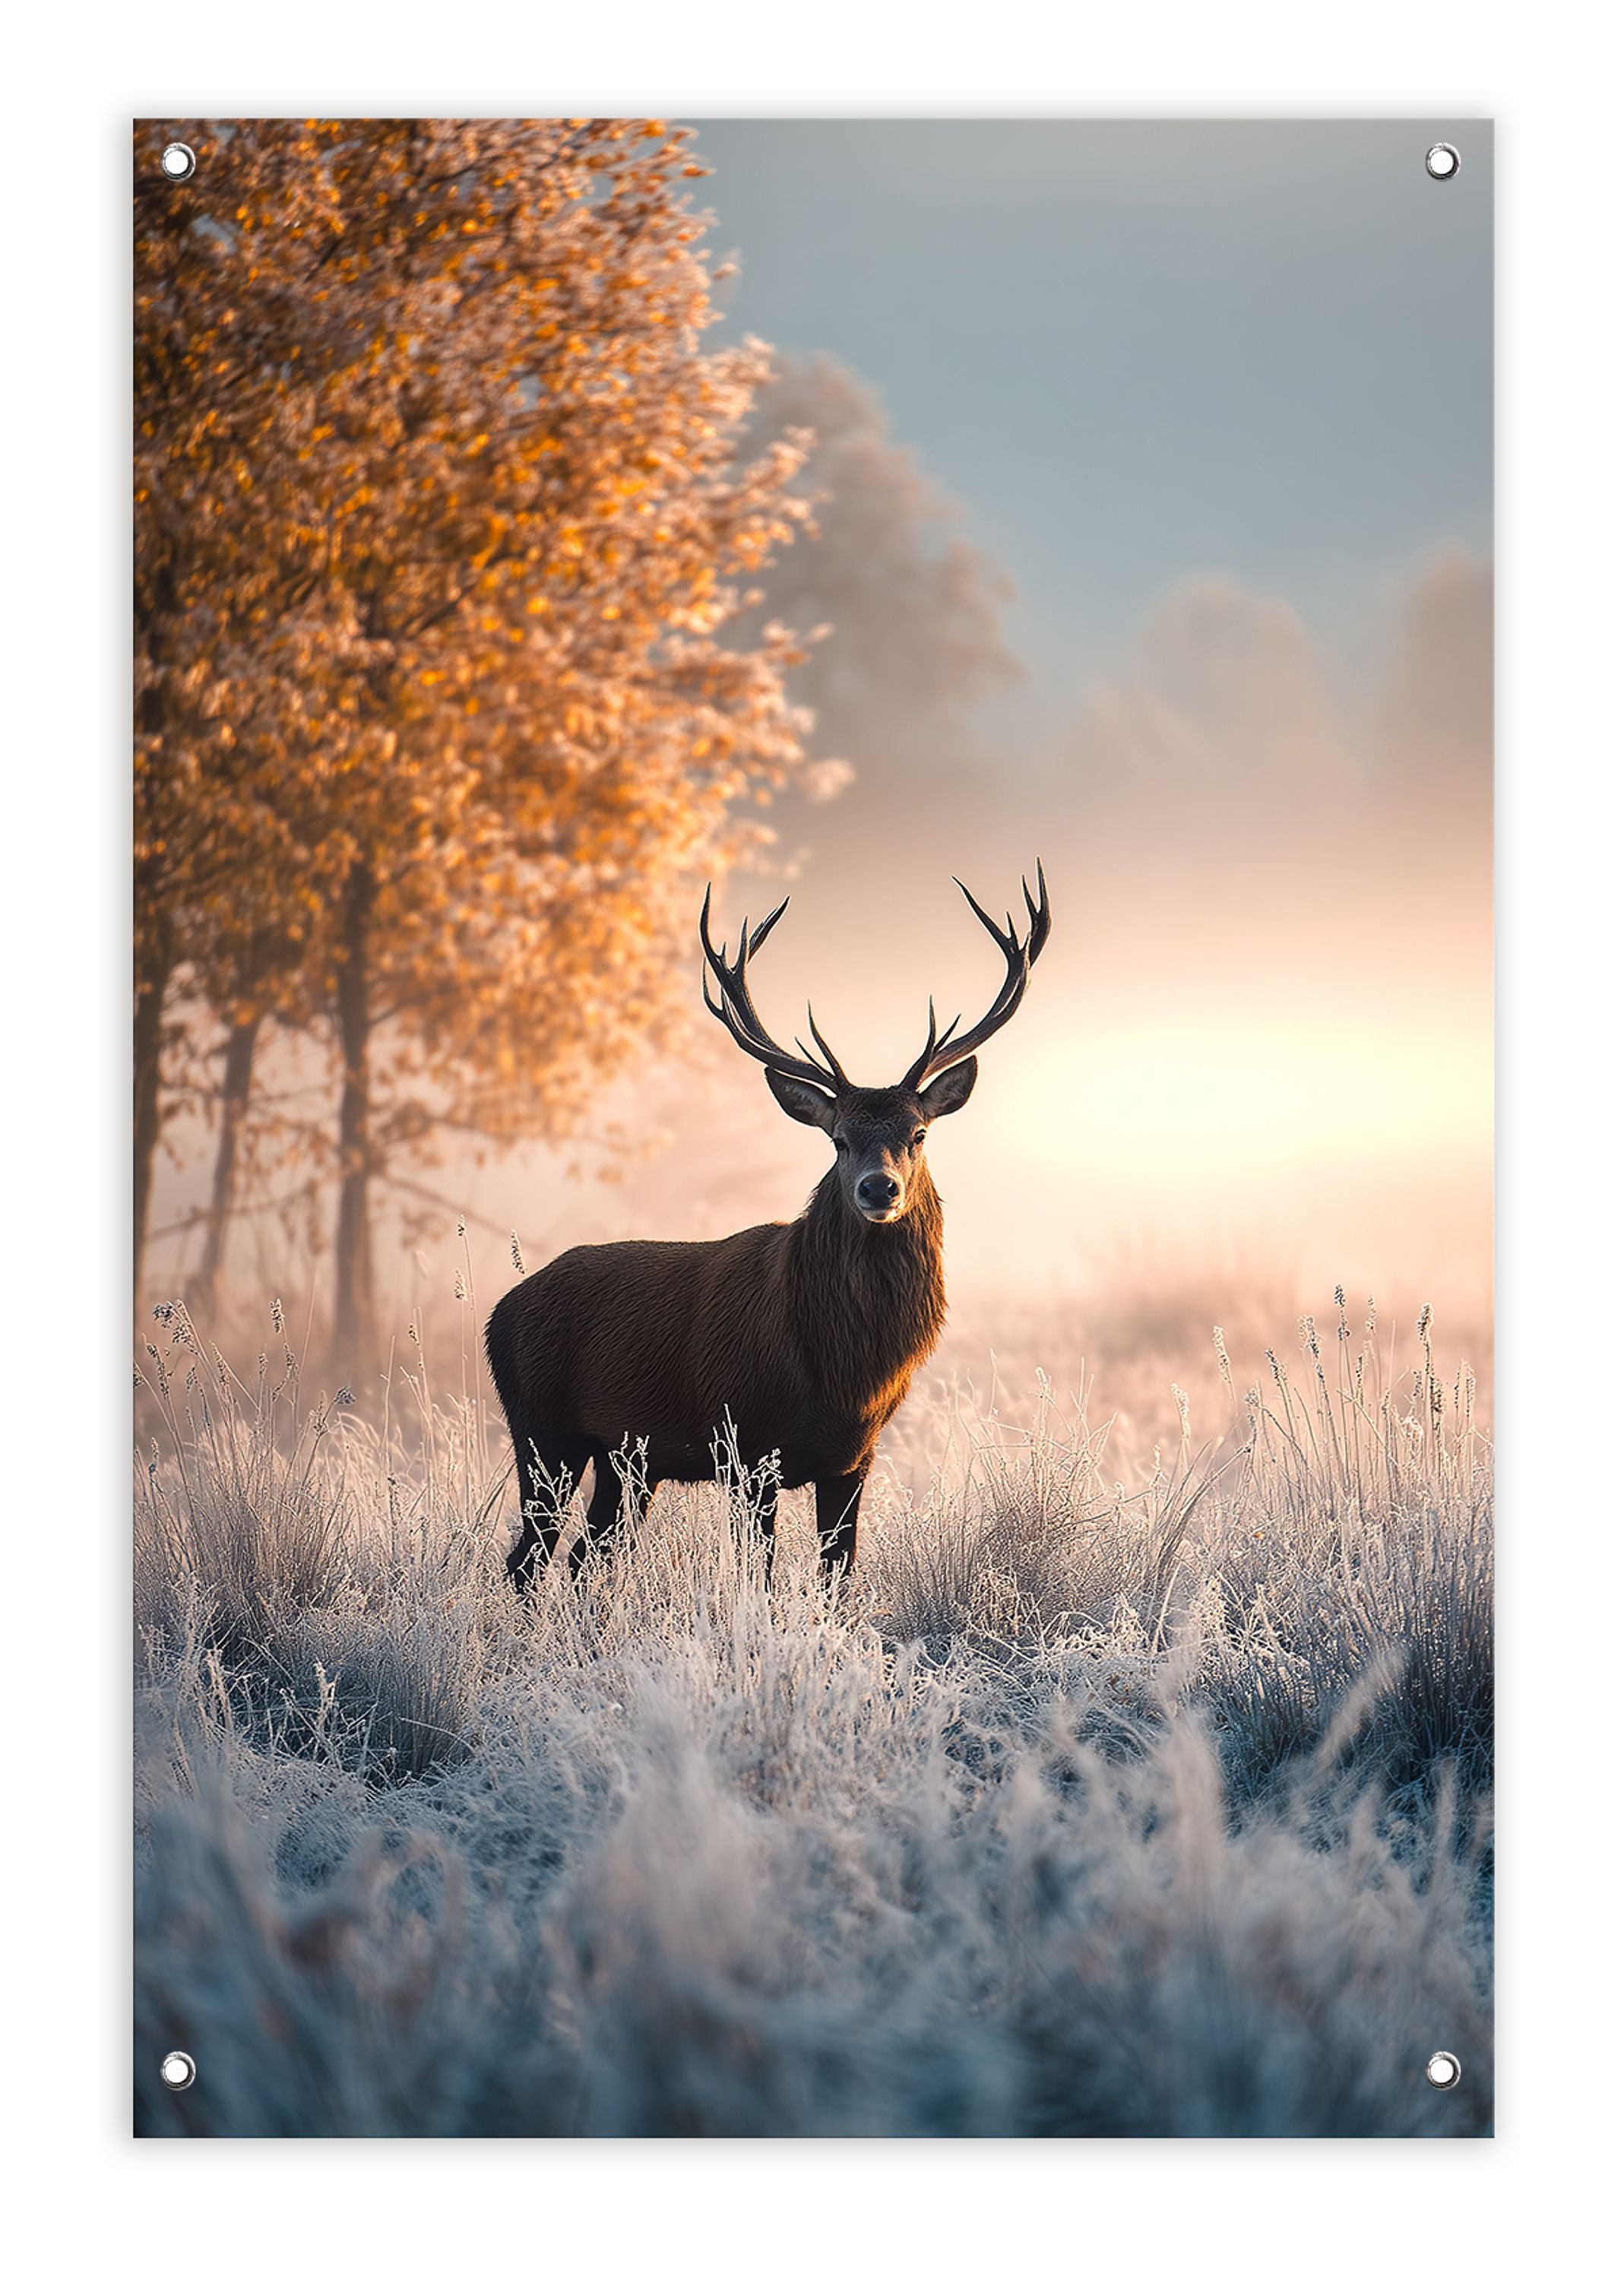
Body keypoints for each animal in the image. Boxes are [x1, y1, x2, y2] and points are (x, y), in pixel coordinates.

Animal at [486, 865, 1051, 1593]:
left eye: (918, 1134)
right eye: (838, 1140)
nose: (879, 1189)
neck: (842, 1372)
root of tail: (499, 1313)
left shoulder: (854, 1458)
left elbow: (838, 1578)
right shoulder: (746, 1449)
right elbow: (758, 1577)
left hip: (625, 1459)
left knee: (587, 1557)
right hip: (540, 1429)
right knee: (526, 1562)